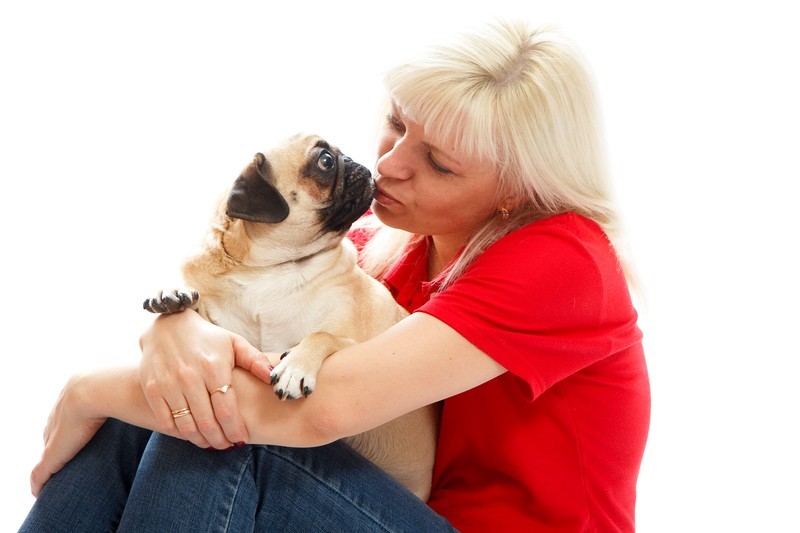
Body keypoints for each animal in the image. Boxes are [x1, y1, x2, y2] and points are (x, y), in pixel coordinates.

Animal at [147, 132, 440, 498]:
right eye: (325, 161)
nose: (356, 163)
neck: (271, 268)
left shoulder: (352, 341)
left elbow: (320, 334)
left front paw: (296, 367)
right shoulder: (226, 328)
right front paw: (173, 294)